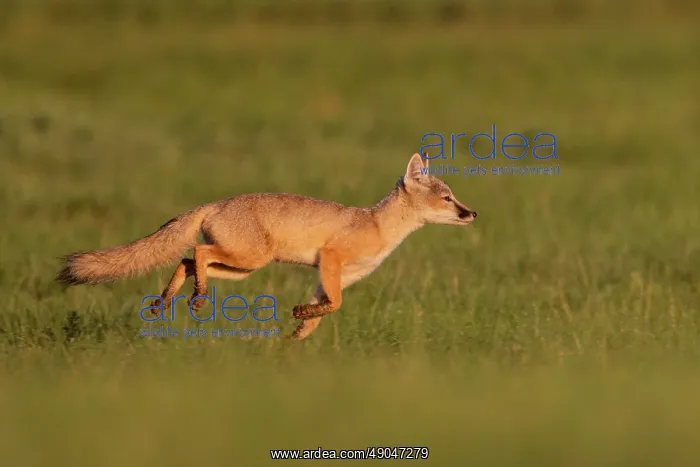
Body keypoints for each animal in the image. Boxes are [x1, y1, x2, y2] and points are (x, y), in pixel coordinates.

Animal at [56, 153, 477, 340]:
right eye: (447, 199)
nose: (472, 212)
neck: (378, 225)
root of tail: (217, 202)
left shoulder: (334, 277)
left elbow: (326, 310)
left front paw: (294, 339)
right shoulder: (331, 260)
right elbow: (335, 304)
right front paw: (298, 319)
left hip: (242, 270)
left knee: (186, 260)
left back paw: (169, 301)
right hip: (250, 260)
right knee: (197, 254)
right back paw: (195, 298)